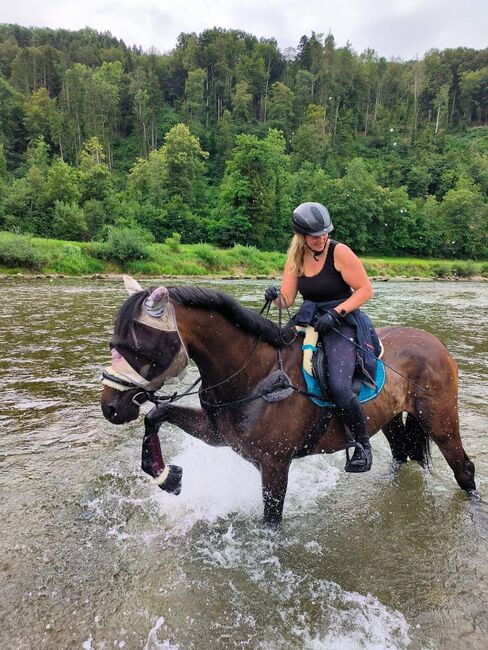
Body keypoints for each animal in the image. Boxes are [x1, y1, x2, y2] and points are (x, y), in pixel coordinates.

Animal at [100, 276, 476, 524]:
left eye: (139, 345)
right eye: (114, 343)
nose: (111, 408)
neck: (255, 375)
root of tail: (435, 342)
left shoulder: (275, 465)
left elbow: (271, 520)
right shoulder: (218, 435)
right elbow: (157, 414)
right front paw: (167, 476)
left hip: (441, 420)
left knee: (464, 469)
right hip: (388, 419)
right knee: (401, 453)